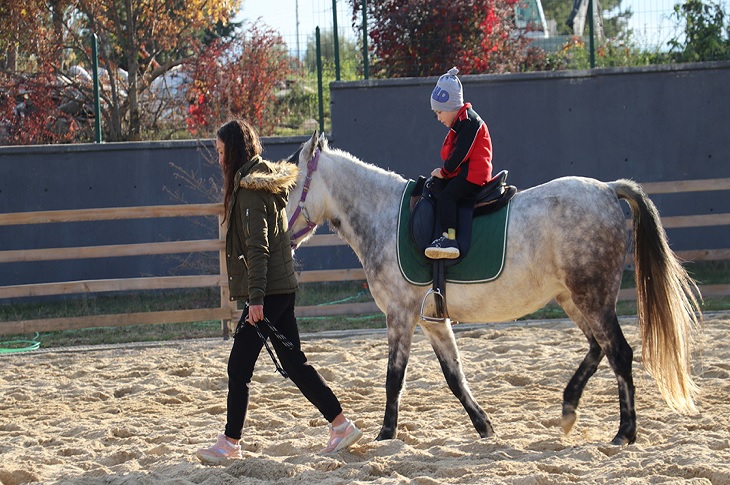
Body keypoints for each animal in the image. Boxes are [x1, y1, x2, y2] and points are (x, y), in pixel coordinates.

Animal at [284, 132, 700, 446]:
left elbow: (394, 378)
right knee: (598, 349)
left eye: (288, 188)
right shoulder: (432, 320)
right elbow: (454, 377)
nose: (281, 238)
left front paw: (386, 435)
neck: (383, 216)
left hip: (593, 298)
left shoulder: (400, 315)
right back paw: (568, 410)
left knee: (619, 353)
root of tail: (609, 190)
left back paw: (624, 432)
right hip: (573, 299)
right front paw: (484, 427)